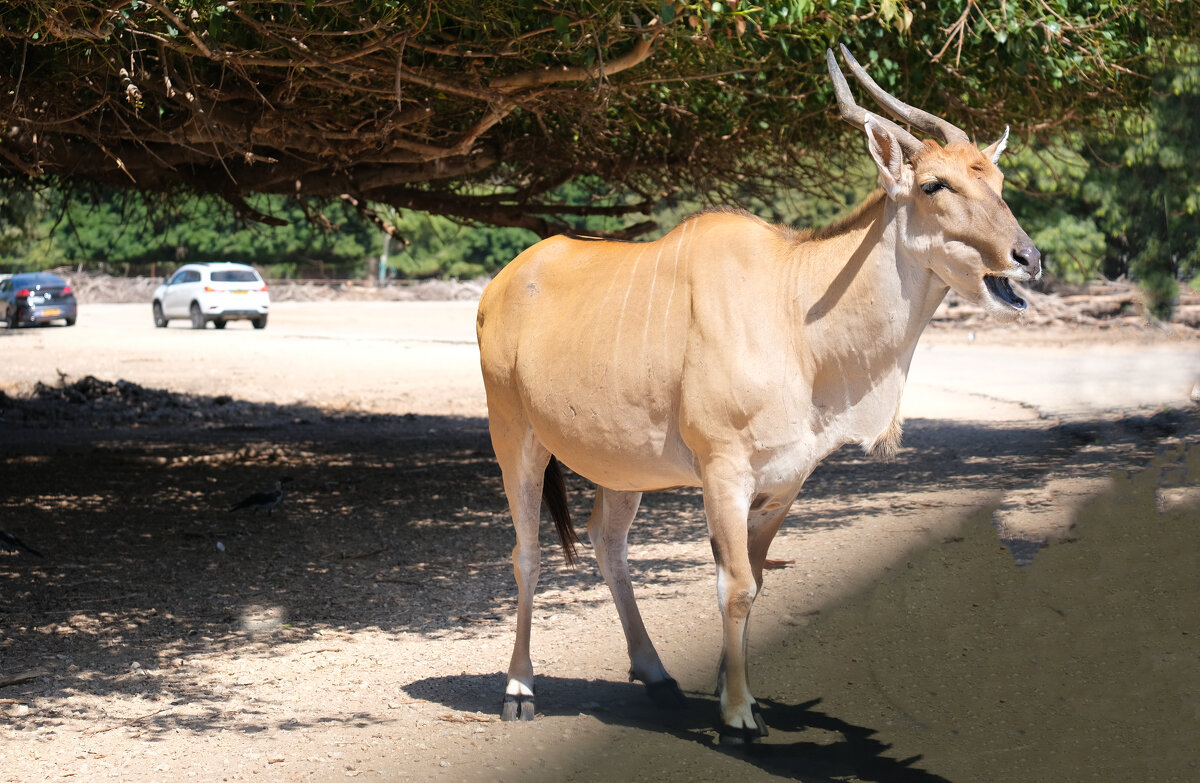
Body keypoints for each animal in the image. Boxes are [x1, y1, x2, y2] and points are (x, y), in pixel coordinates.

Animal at [477, 45, 1041, 734]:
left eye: (999, 183)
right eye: (936, 184)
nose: (1028, 259)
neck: (794, 307)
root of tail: (506, 280)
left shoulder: (784, 483)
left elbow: (753, 579)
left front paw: (728, 690)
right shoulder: (724, 473)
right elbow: (738, 585)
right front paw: (741, 713)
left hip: (622, 467)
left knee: (608, 543)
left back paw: (656, 675)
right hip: (516, 439)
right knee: (527, 553)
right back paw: (519, 689)